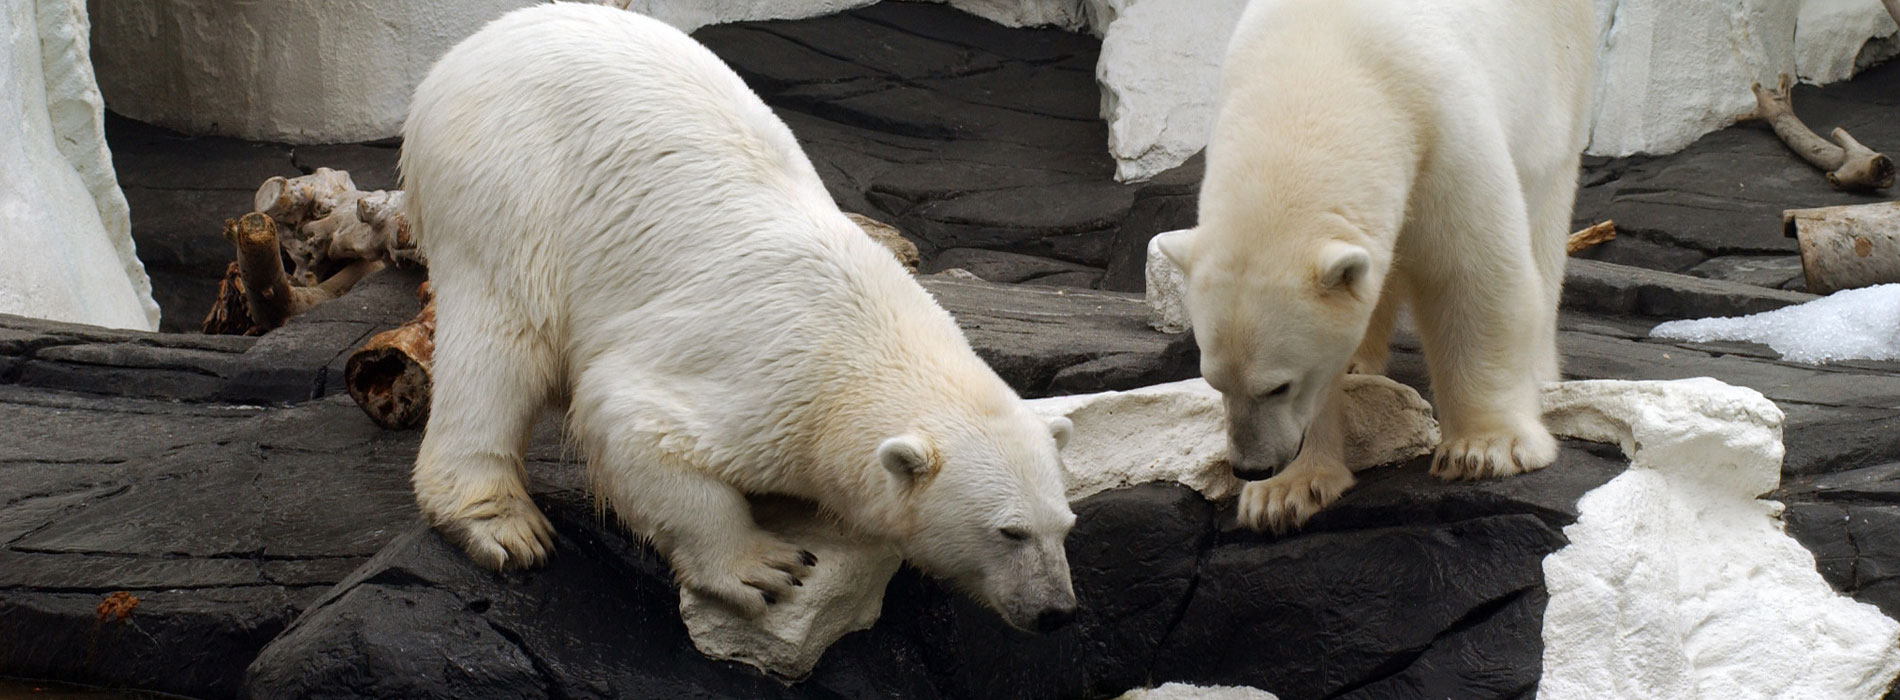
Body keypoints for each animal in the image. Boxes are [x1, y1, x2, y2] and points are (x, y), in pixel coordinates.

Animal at [400, 4, 1079, 632]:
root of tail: (468, 50)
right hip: (509, 180)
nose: (1057, 611)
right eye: (1009, 531)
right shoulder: (768, 375)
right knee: (504, 337)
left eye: (1065, 524)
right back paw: (501, 523)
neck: (870, 335)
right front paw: (764, 567)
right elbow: (629, 417)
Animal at [1155, 0, 1595, 532]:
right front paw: (1283, 495)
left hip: (1559, 80)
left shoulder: (1441, 127)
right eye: (1214, 382)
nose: (1252, 466)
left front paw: (1485, 449)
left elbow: (1470, 275)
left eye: (1279, 386)